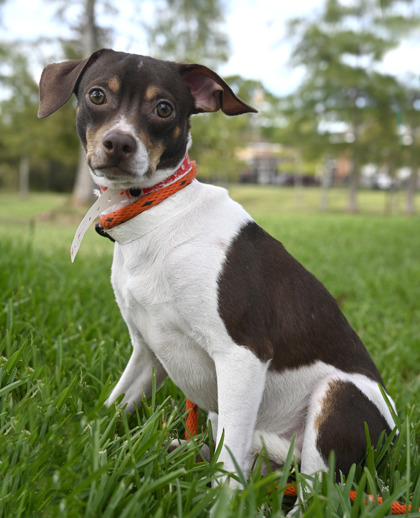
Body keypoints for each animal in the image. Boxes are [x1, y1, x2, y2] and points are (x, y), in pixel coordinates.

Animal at [37, 48, 396, 488]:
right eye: (97, 95)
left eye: (164, 108)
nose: (119, 143)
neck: (159, 217)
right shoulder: (147, 353)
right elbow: (113, 408)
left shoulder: (242, 356)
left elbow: (229, 468)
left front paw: (220, 498)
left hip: (336, 397)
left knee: (318, 491)